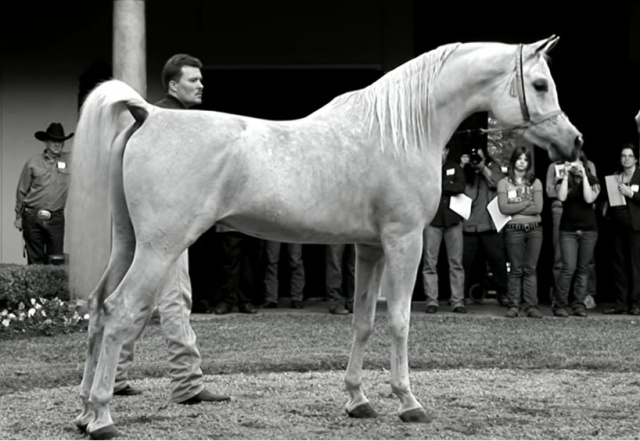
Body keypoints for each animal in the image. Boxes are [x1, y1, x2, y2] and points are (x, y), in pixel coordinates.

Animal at [67, 36, 584, 438]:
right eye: (540, 84)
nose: (575, 142)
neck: (399, 131)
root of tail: (147, 114)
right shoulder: (405, 242)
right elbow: (399, 321)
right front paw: (408, 402)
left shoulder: (370, 248)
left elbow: (363, 322)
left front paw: (358, 400)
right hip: (160, 248)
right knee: (119, 311)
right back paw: (103, 418)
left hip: (129, 244)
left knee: (98, 307)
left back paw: (84, 412)